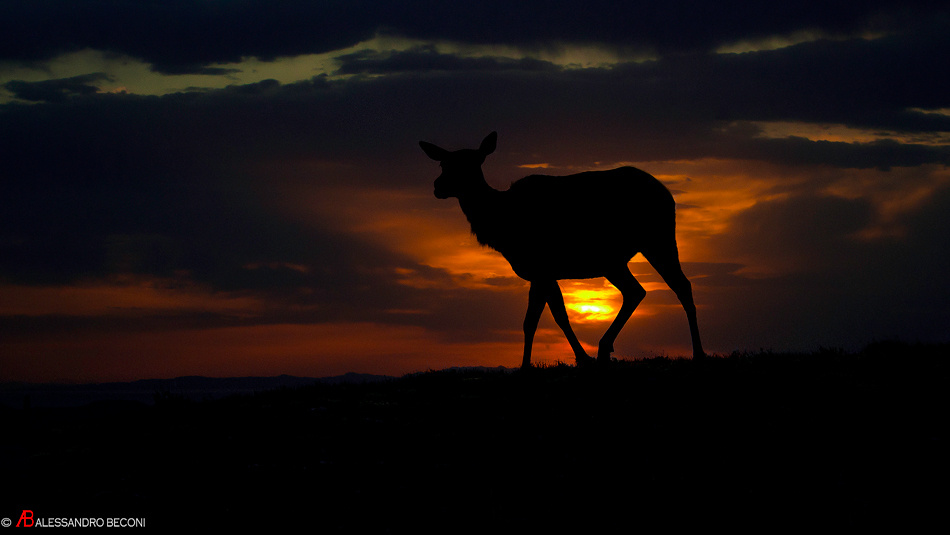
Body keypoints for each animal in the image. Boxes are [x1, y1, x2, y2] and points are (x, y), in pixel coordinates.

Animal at [420, 132, 704, 369]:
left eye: (471, 164)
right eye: (443, 164)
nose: (437, 186)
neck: (501, 227)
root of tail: (667, 193)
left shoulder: (542, 268)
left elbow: (552, 317)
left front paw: (575, 359)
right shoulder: (540, 274)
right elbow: (539, 319)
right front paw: (531, 365)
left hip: (657, 238)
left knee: (680, 285)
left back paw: (697, 353)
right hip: (613, 261)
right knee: (637, 291)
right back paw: (605, 347)